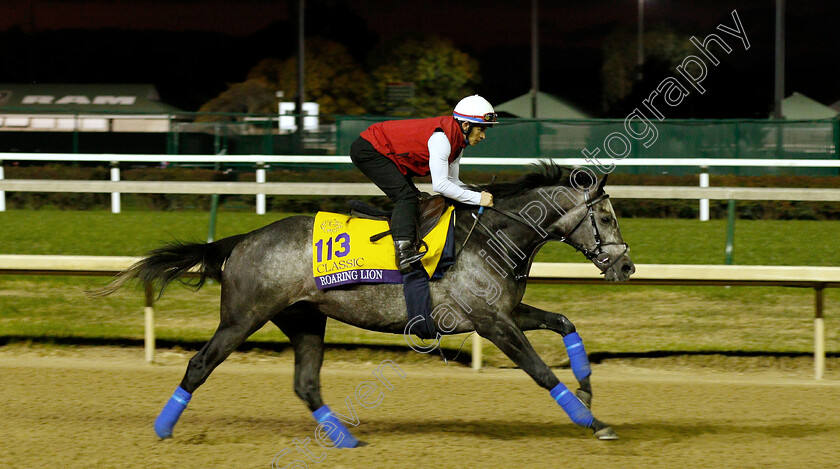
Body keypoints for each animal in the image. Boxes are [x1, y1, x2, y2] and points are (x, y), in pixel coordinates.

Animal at [88, 163, 632, 444]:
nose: (626, 266)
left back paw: (346, 439)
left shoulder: (503, 313)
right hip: (243, 316)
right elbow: (540, 370)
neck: (490, 237)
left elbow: (564, 322)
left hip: (304, 319)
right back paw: (163, 428)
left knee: (306, 384)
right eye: (606, 216)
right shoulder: (490, 323)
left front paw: (587, 390)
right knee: (199, 364)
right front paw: (592, 421)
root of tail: (241, 240)